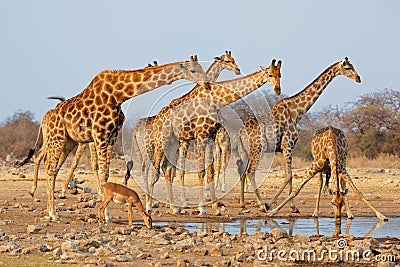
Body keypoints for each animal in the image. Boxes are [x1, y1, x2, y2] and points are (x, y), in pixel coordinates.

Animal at [21, 55, 206, 221]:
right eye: (193, 70)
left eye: (201, 68)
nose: (206, 83)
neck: (118, 95)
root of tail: (45, 121)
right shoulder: (100, 135)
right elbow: (103, 173)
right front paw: (106, 215)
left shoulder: (112, 137)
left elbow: (107, 174)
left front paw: (106, 214)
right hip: (57, 138)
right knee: (51, 167)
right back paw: (53, 214)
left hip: (68, 141)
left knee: (50, 165)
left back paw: (48, 209)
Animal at [123, 51, 241, 205]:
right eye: (227, 61)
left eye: (233, 59)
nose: (238, 70)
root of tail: (135, 130)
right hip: (149, 147)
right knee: (146, 168)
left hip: (140, 149)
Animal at [148, 58, 282, 216]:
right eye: (269, 74)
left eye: (279, 74)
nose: (278, 89)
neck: (216, 100)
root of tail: (157, 118)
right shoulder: (200, 136)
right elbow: (201, 171)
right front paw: (202, 208)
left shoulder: (210, 137)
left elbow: (210, 171)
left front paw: (216, 207)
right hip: (162, 141)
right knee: (156, 168)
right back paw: (150, 206)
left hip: (173, 143)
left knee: (167, 170)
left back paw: (174, 207)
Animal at [236, 57, 360, 213]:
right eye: (348, 68)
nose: (358, 78)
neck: (296, 112)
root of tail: (240, 132)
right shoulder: (288, 145)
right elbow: (289, 176)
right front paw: (277, 205)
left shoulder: (286, 148)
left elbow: (289, 175)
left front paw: (291, 206)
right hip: (257, 149)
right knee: (250, 172)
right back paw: (261, 204)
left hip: (245, 151)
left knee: (242, 172)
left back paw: (243, 204)